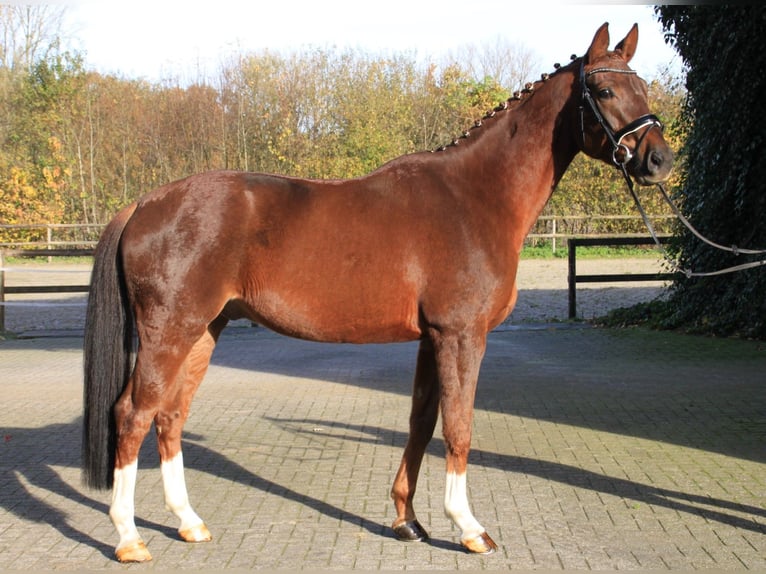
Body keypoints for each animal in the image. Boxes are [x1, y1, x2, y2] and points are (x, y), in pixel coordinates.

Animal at [82, 23, 673, 562]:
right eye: (604, 90)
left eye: (643, 86)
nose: (659, 160)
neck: (474, 198)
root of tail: (145, 203)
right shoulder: (461, 335)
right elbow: (459, 427)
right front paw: (468, 527)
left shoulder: (432, 338)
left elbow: (421, 422)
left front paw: (407, 520)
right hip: (170, 331)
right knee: (132, 413)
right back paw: (130, 538)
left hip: (205, 330)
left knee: (170, 415)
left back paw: (188, 522)